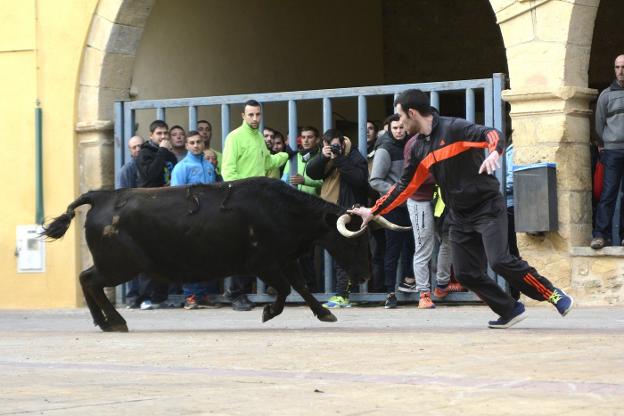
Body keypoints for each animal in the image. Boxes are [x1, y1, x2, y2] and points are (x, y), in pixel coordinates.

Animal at [42, 177, 370, 334]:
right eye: (354, 243)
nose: (366, 275)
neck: (283, 209)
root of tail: (100, 196)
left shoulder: (286, 259)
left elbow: (301, 287)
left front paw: (325, 313)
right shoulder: (263, 264)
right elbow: (286, 289)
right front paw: (268, 311)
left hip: (115, 265)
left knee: (87, 280)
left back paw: (106, 322)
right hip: (118, 266)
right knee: (90, 280)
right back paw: (115, 321)